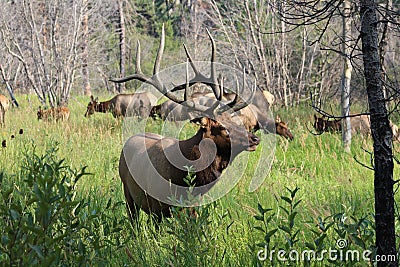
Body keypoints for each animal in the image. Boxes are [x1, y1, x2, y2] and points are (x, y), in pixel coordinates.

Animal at [110, 25, 260, 222]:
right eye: (221, 127)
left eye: (236, 120)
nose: (255, 139)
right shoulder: (157, 206)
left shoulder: (192, 208)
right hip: (128, 193)